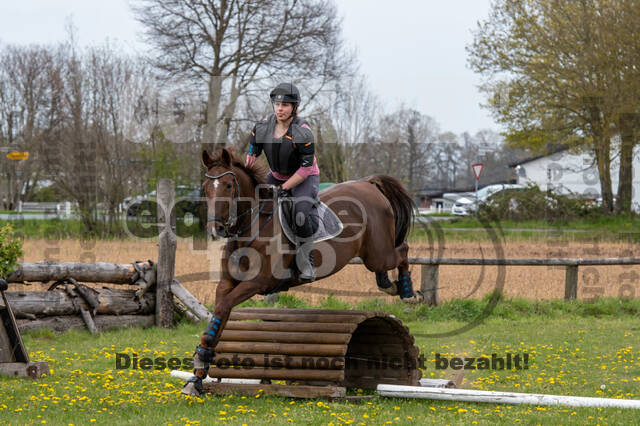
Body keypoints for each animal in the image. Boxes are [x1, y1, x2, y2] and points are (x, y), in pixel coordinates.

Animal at [181, 149, 420, 396]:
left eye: (228, 186)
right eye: (206, 188)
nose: (215, 229)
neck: (252, 227)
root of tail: (368, 184)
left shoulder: (258, 282)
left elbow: (223, 306)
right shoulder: (227, 283)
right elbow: (220, 313)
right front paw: (197, 376)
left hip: (378, 253)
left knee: (402, 250)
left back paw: (407, 292)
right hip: (374, 255)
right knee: (387, 266)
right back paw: (389, 284)